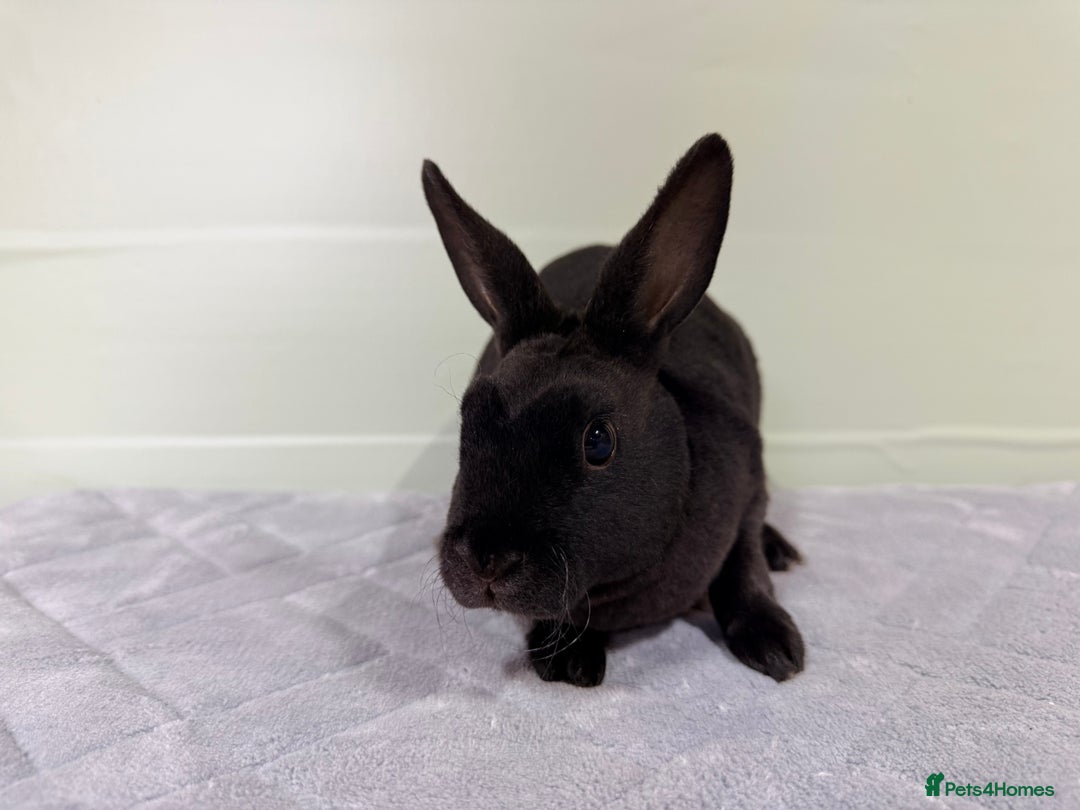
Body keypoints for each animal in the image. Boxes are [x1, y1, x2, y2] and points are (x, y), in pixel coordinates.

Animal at [422, 133, 804, 687]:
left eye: (598, 441)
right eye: (468, 424)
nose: (485, 562)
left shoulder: (750, 487)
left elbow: (743, 565)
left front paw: (775, 647)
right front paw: (564, 659)